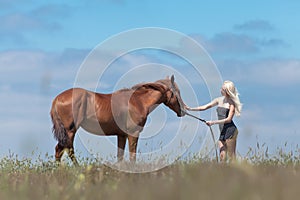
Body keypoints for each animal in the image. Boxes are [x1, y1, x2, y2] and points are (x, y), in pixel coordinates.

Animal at [50, 75, 184, 166]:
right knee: (66, 150)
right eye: (176, 92)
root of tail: (57, 99)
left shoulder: (121, 135)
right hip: (70, 131)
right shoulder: (133, 134)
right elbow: (132, 156)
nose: (182, 111)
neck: (137, 101)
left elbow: (120, 156)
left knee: (59, 151)